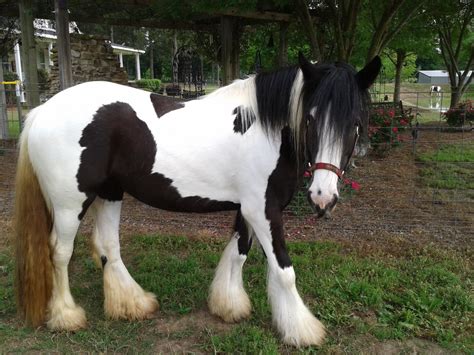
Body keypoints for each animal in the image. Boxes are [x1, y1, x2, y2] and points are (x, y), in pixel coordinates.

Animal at [14, 53, 382, 348]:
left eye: (355, 123)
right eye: (310, 118)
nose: (323, 198)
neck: (266, 128)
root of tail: (42, 111)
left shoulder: (247, 208)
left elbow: (239, 253)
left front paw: (229, 305)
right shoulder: (263, 210)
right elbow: (283, 270)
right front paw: (302, 331)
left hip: (111, 193)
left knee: (107, 246)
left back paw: (133, 304)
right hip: (70, 203)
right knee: (60, 253)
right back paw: (66, 316)